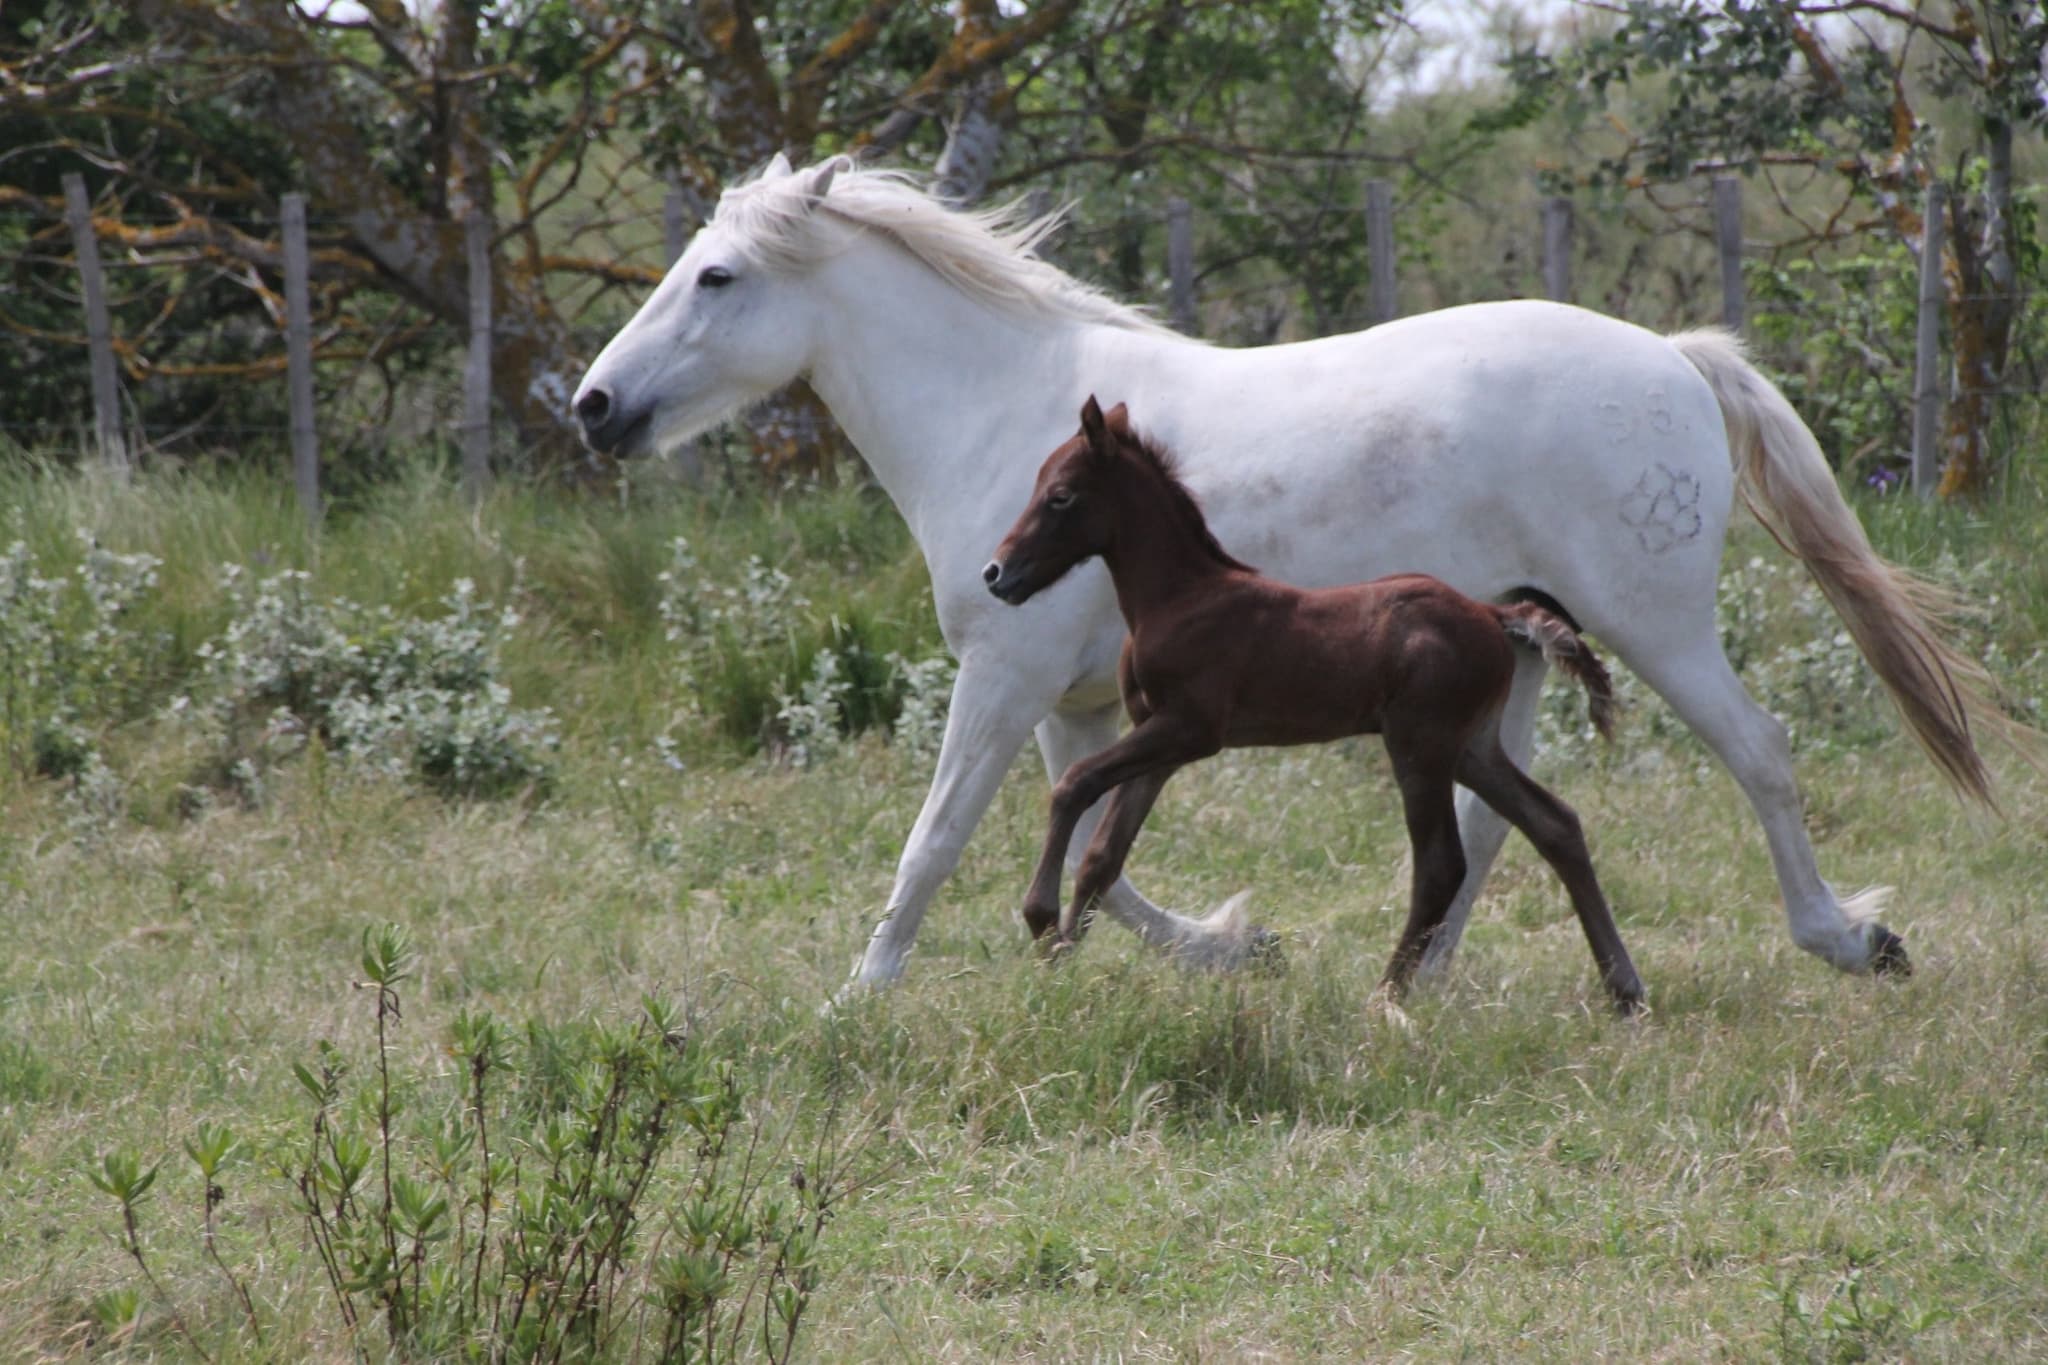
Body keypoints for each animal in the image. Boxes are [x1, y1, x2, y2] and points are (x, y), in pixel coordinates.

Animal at [986, 397, 1647, 1013]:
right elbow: (1104, 853)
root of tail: (1492, 613)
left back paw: (1385, 994)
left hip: (1421, 744)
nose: (997, 574)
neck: (1180, 599)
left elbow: (1073, 783)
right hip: (1473, 747)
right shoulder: (1161, 743)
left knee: (1441, 864)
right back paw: (1624, 989)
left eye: (1060, 497)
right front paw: (1061, 961)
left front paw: (1040, 921)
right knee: (1554, 823)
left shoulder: (1190, 729)